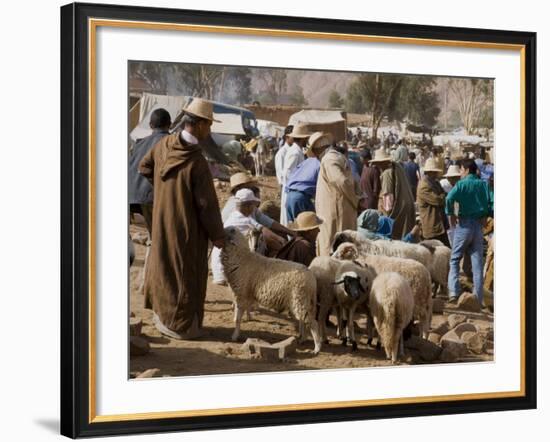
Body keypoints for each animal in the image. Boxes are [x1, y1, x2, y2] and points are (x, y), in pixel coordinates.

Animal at [221, 226, 324, 354]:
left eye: (231, 230)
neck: (241, 257)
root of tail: (312, 278)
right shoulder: (245, 294)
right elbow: (240, 314)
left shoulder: (241, 294)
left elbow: (237, 319)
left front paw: (235, 336)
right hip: (303, 300)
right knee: (304, 321)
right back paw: (303, 339)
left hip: (300, 299)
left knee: (312, 323)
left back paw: (317, 347)